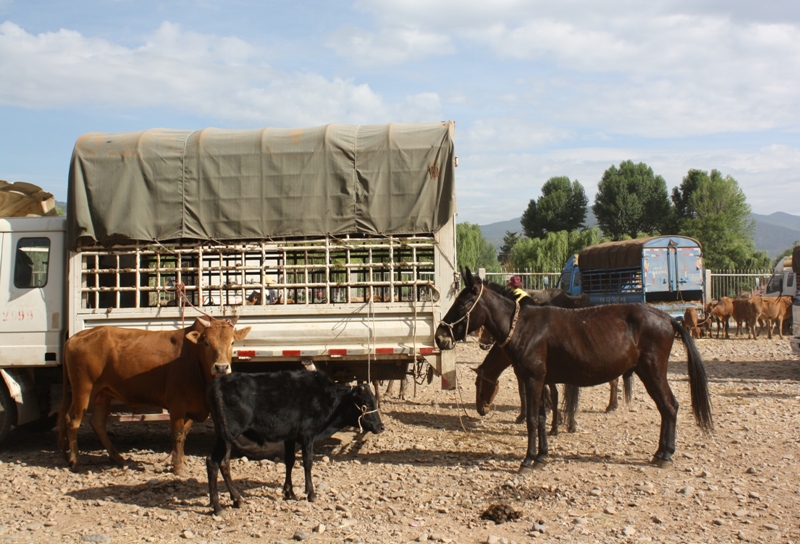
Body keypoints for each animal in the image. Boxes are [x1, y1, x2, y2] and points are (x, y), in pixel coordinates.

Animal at [57, 316, 250, 474]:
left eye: (232, 342)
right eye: (206, 343)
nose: (221, 367)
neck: (194, 361)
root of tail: (76, 337)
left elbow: (185, 433)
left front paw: (180, 460)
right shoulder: (177, 405)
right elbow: (178, 433)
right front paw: (178, 467)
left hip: (102, 393)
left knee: (96, 422)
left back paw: (118, 458)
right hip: (84, 389)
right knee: (72, 420)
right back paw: (76, 461)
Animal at [205, 368, 382, 512]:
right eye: (366, 404)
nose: (381, 427)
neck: (324, 396)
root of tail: (217, 383)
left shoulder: (289, 437)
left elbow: (289, 461)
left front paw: (288, 491)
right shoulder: (307, 436)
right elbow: (308, 463)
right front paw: (311, 493)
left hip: (225, 437)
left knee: (224, 463)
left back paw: (236, 499)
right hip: (228, 434)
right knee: (212, 462)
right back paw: (217, 506)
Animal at [438, 270, 712, 474]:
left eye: (462, 303)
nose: (440, 336)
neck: (525, 328)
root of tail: (668, 319)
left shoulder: (532, 380)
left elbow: (532, 419)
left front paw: (527, 460)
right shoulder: (540, 380)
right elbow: (541, 417)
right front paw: (542, 456)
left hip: (653, 372)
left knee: (670, 406)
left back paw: (666, 455)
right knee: (666, 408)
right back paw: (660, 453)